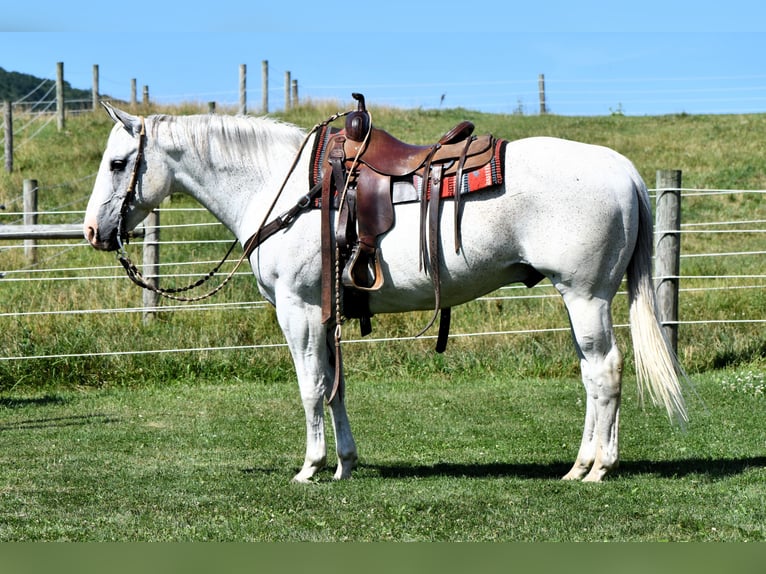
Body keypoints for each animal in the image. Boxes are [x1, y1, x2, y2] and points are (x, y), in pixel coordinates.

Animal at [85, 104, 688, 486]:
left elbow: (310, 388)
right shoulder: (325, 314)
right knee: (591, 374)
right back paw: (580, 464)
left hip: (586, 297)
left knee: (605, 371)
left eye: (117, 163)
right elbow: (335, 389)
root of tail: (620, 168)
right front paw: (345, 463)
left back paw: (598, 468)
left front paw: (310, 467)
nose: (93, 231)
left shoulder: (298, 311)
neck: (280, 185)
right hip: (578, 300)